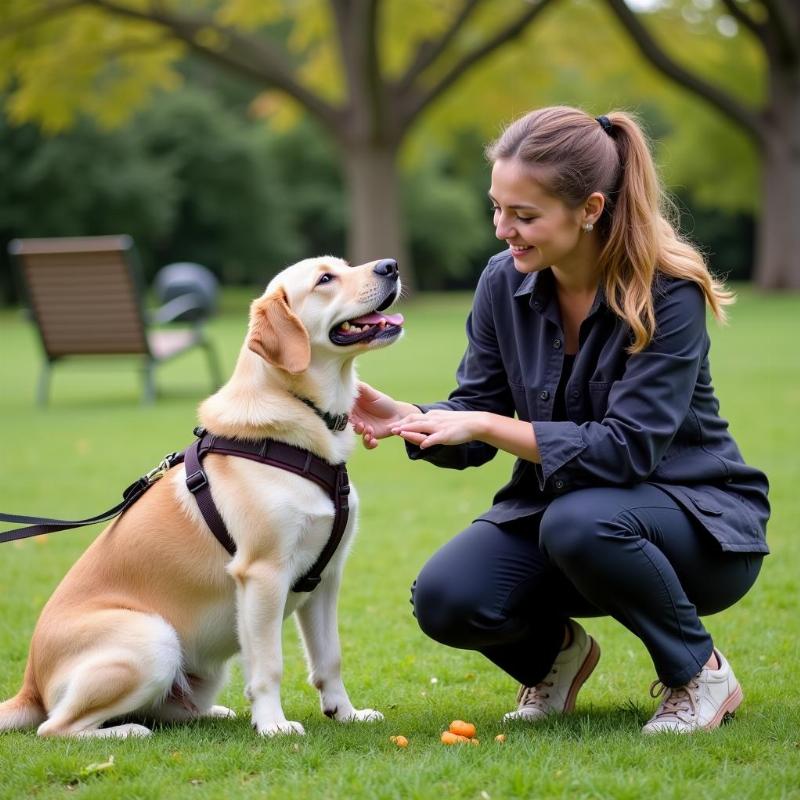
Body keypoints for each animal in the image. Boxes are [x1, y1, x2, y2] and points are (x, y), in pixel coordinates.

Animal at [0, 256, 404, 736]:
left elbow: (330, 659)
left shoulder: (327, 576)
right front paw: (273, 725)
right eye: (325, 278)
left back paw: (210, 712)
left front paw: (345, 713)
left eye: (343, 265)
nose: (390, 266)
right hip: (154, 638)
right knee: (56, 727)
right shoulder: (263, 573)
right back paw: (128, 732)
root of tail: (29, 684)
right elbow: (269, 665)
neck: (301, 422)